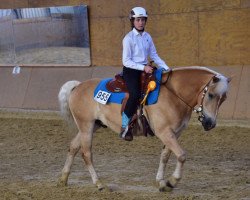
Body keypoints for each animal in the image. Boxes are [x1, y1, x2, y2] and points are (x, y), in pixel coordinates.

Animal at [56, 66, 230, 191]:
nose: (210, 123)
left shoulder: (174, 133)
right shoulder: (164, 132)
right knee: (86, 154)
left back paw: (63, 179)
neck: (174, 95)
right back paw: (99, 184)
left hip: (92, 126)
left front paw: (161, 182)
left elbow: (165, 156)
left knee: (73, 147)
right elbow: (181, 155)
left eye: (224, 99)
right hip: (86, 127)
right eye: (211, 95)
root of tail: (77, 87)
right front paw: (171, 182)